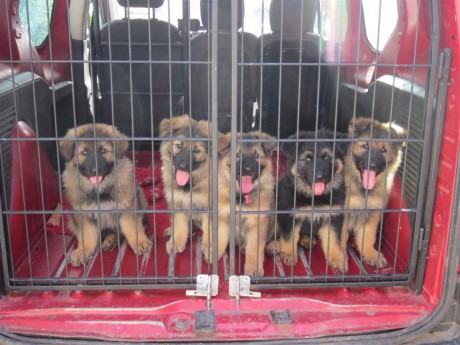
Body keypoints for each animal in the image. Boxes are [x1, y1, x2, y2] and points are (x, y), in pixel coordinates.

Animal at [59, 123, 152, 266]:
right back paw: (110, 240)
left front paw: (140, 242)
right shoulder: (83, 215)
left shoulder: (128, 208)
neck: (100, 189)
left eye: (103, 150)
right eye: (84, 153)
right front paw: (82, 251)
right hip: (71, 220)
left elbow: (132, 227)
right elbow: (86, 235)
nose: (95, 170)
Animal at [160, 114, 228, 260]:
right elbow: (180, 224)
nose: (182, 166)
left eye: (196, 150)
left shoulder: (209, 207)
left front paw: (209, 245)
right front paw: (177, 241)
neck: (189, 184)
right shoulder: (177, 203)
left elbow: (209, 227)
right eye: (179, 146)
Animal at [218, 130, 274, 276]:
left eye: (256, 156)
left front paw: (253, 267)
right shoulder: (223, 216)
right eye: (237, 155)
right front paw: (213, 250)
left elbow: (254, 247)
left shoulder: (257, 222)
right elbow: (220, 235)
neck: (242, 196)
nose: (247, 169)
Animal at [266, 129, 348, 272]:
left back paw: (307, 239)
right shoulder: (288, 215)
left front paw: (337, 257)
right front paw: (289, 254)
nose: (319, 177)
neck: (314, 196)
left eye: (327, 157)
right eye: (308, 158)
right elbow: (290, 236)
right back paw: (274, 245)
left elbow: (333, 238)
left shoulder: (333, 216)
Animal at [342, 117, 406, 268]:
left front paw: (370, 253)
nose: (372, 165)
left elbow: (368, 236)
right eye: (365, 146)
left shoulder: (372, 213)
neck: (363, 190)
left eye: (383, 150)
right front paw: (339, 256)